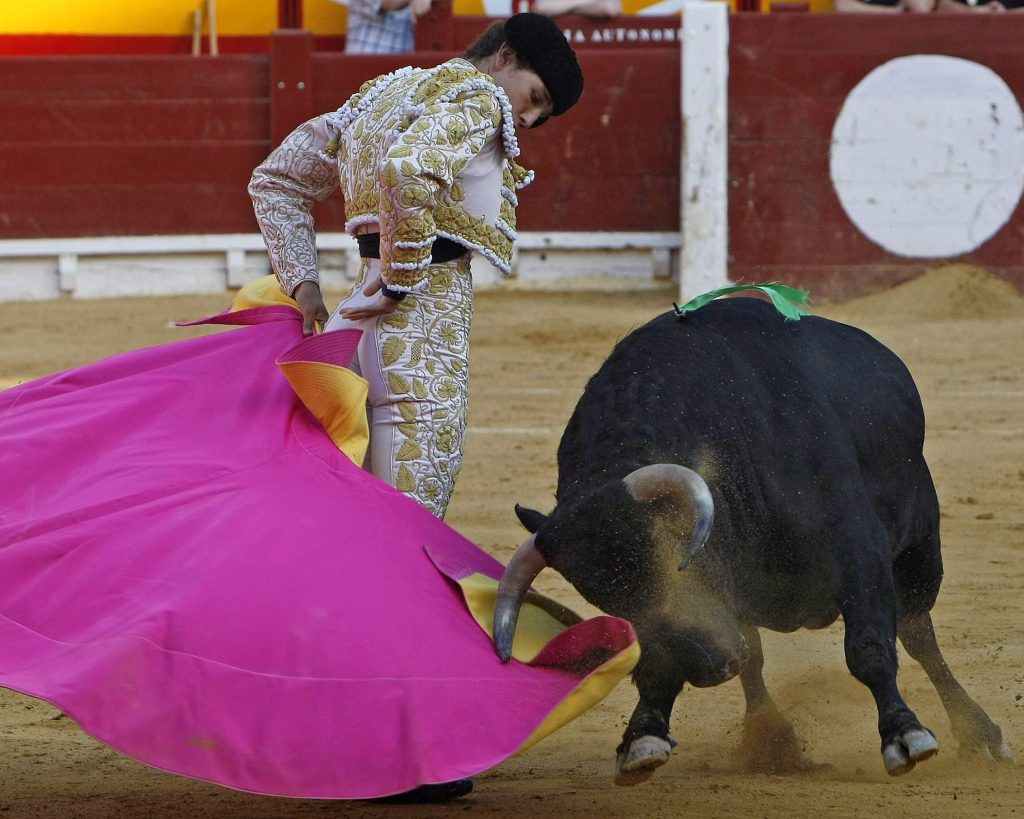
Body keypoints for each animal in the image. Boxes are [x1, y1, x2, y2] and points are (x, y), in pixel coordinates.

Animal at [491, 296, 1011, 782]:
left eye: (674, 551)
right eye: (606, 597)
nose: (708, 666)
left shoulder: (857, 546)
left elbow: (868, 646)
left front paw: (904, 733)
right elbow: (706, 659)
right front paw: (645, 735)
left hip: (920, 549)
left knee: (918, 633)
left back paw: (980, 734)